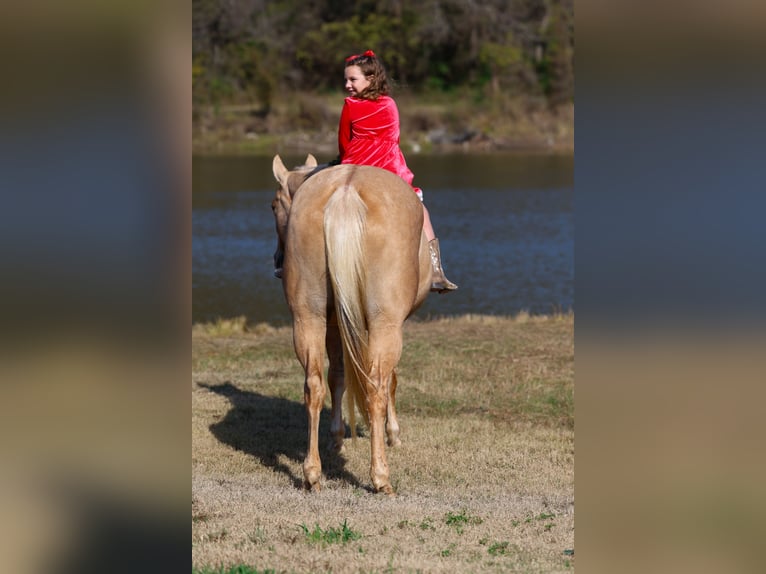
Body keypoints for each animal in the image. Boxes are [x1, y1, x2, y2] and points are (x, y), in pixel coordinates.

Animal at [271, 154, 432, 494]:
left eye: (273, 204)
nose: (277, 258)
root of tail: (345, 192)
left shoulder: (333, 325)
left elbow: (337, 376)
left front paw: (336, 439)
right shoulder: (392, 324)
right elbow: (391, 380)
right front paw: (393, 433)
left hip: (308, 317)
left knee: (314, 384)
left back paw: (313, 473)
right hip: (385, 325)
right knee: (377, 387)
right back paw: (381, 477)